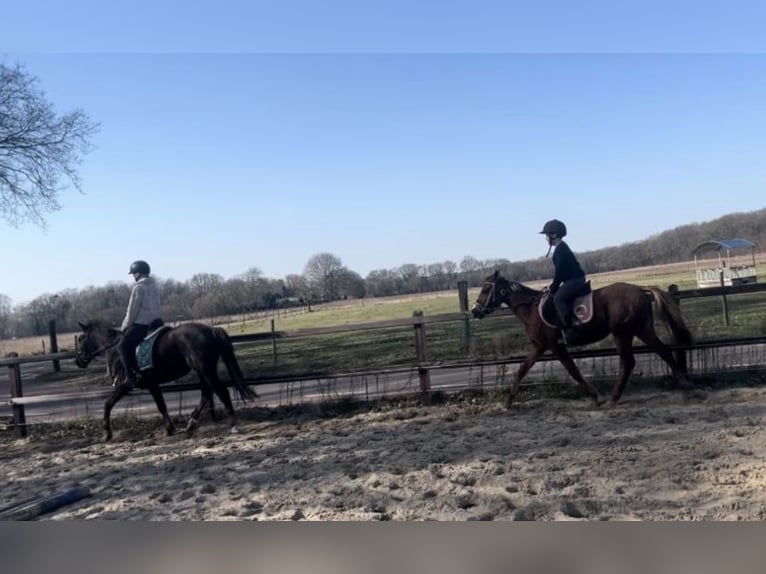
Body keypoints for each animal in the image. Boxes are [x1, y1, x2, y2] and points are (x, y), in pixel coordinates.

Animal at [76, 322, 260, 444]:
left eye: (80, 339)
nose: (78, 361)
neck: (114, 350)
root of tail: (211, 329)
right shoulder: (152, 385)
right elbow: (161, 405)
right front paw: (169, 429)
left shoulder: (125, 385)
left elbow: (107, 404)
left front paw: (106, 433)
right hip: (202, 371)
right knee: (206, 392)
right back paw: (191, 424)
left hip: (206, 370)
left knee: (221, 391)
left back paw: (233, 424)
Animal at [472, 272, 692, 410]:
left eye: (485, 290)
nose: (475, 311)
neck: (532, 308)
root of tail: (640, 290)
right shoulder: (539, 346)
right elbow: (521, 371)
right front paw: (507, 403)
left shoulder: (554, 346)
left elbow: (573, 371)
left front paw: (595, 397)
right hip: (641, 329)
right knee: (662, 351)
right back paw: (684, 384)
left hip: (623, 333)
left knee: (629, 362)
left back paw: (613, 398)